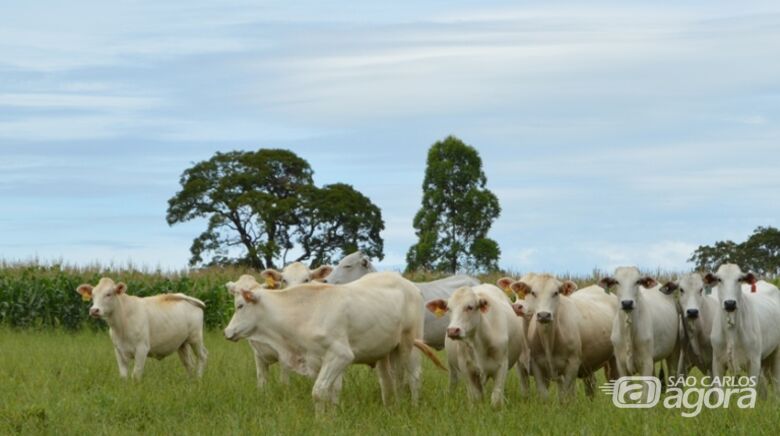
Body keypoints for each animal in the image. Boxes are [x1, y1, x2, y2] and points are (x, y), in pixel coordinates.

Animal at [76, 280, 207, 378]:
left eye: (109, 294)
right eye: (93, 295)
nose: (94, 310)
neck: (121, 324)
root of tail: (184, 296)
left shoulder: (142, 349)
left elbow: (136, 374)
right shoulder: (118, 350)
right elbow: (123, 375)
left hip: (195, 338)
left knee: (202, 356)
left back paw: (199, 378)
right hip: (182, 344)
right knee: (189, 364)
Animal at [222, 270, 444, 410]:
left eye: (240, 305)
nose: (227, 332)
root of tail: (412, 286)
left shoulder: (340, 355)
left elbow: (319, 392)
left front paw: (321, 422)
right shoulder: (321, 360)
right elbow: (333, 392)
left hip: (410, 343)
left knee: (414, 377)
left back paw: (413, 407)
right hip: (389, 350)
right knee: (393, 380)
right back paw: (394, 408)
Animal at [704, 264, 780, 394]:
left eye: (739, 279)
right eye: (719, 279)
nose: (730, 303)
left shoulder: (754, 362)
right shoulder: (717, 363)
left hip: (776, 354)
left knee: (775, 382)